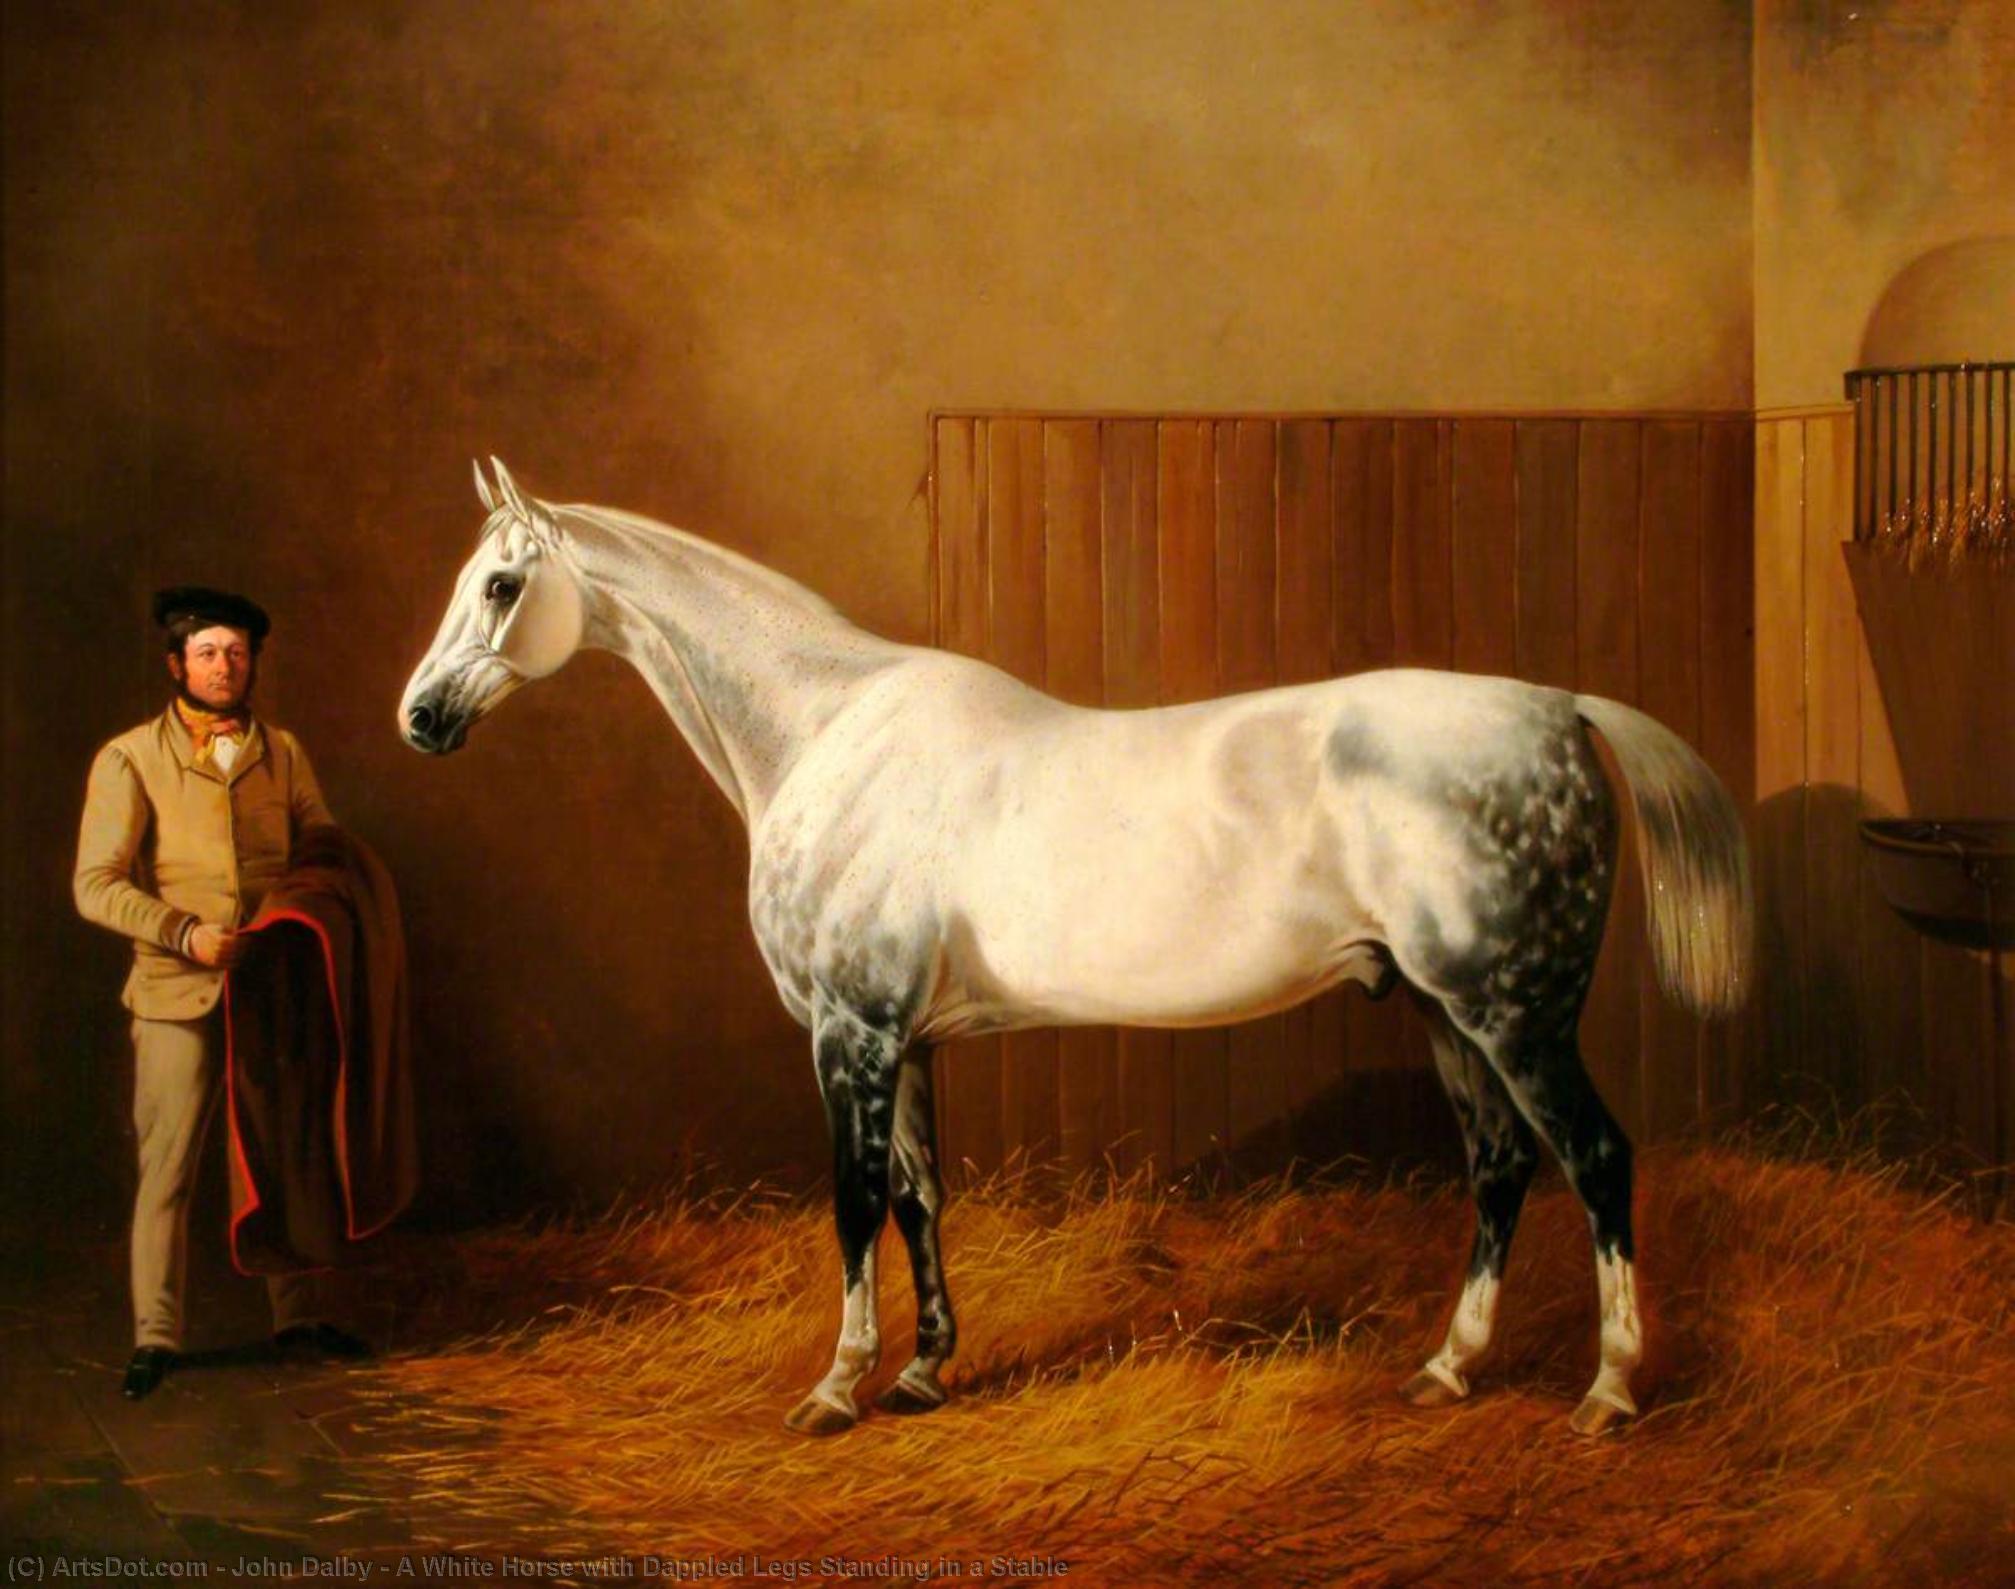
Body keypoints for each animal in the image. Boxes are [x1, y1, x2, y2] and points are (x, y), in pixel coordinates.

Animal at [400, 458, 1751, 1439]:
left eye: (501, 585)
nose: (418, 717)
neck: (829, 733)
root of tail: (1558, 708)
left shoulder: (851, 1031)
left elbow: (850, 1201)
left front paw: (836, 1386)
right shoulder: (908, 1038)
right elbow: (917, 1195)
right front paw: (923, 1372)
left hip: (1513, 1013)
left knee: (1595, 1160)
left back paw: (1607, 1389)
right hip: (1443, 1009)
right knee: (1497, 1167)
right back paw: (1447, 1367)